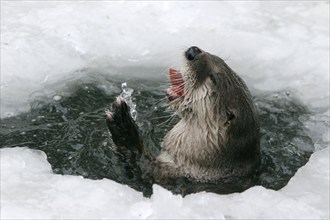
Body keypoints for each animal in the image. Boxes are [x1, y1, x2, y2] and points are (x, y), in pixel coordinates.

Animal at [105, 46, 260, 196]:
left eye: (213, 78)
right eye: (218, 58)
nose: (193, 50)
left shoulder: (170, 178)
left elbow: (141, 167)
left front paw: (123, 124)